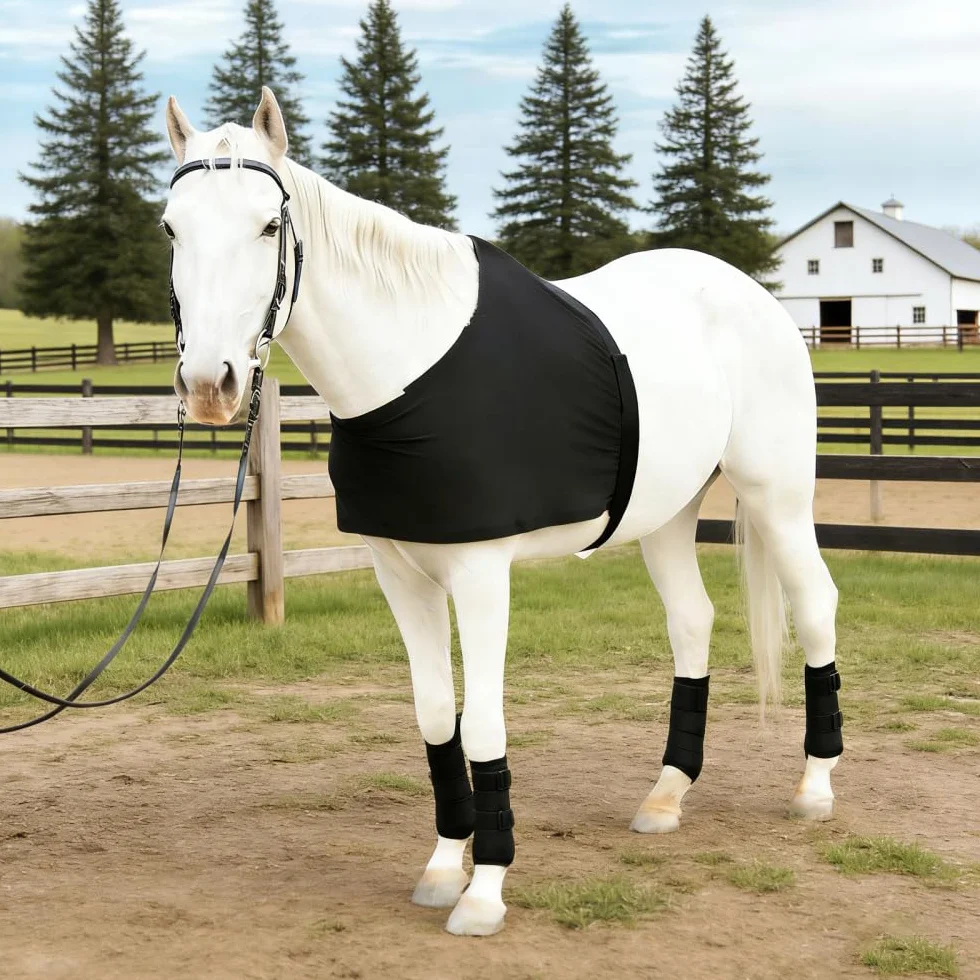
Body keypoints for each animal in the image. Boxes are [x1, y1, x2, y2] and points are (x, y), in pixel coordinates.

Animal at [162, 87, 843, 937]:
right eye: (172, 227)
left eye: (265, 225)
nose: (209, 384)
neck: (411, 367)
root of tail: (754, 296)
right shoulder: (400, 575)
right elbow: (434, 717)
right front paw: (442, 865)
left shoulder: (483, 575)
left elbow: (482, 722)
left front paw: (484, 889)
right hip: (666, 516)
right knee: (692, 623)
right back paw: (666, 794)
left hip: (777, 496)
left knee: (815, 607)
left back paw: (815, 786)